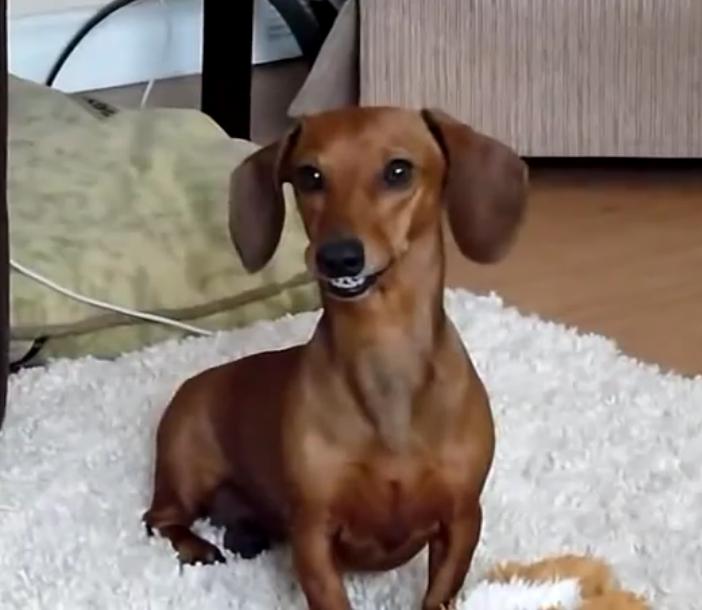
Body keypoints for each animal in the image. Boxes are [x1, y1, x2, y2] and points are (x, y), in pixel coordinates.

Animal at [143, 107, 528, 604]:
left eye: (398, 171)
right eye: (310, 175)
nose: (339, 256)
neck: (383, 354)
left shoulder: (461, 520)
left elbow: (440, 591)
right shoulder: (312, 530)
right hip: (187, 471)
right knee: (160, 519)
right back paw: (198, 548)